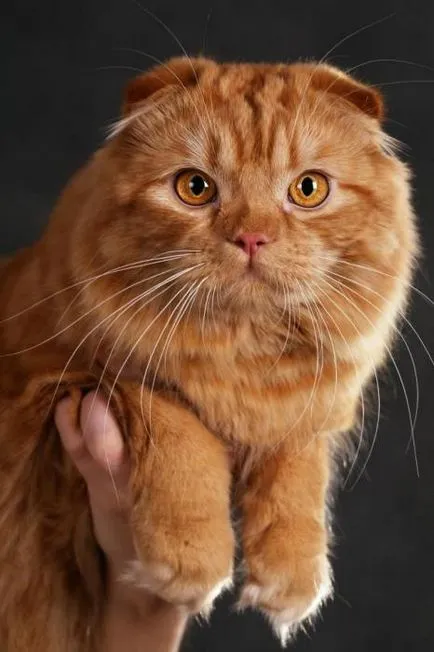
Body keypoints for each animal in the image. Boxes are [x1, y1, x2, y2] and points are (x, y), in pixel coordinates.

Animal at [0, 56, 420, 648]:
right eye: (195, 188)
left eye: (308, 189)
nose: (252, 237)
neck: (242, 355)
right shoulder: (67, 375)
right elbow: (180, 429)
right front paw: (190, 561)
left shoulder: (311, 408)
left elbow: (297, 473)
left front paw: (292, 578)